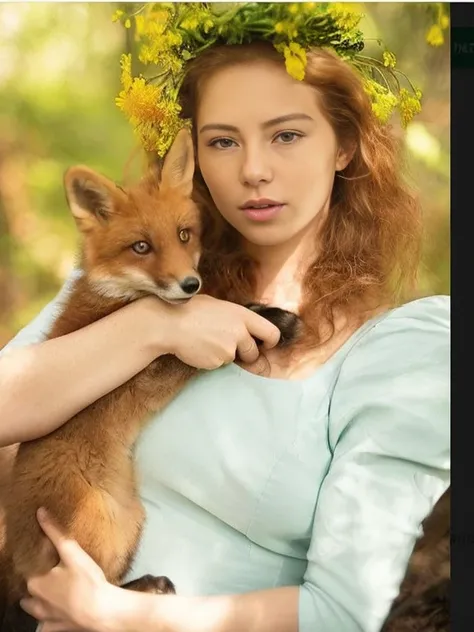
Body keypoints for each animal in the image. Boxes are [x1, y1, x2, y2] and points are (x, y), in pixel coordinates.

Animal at [0, 127, 300, 624]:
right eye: (141, 247)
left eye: (183, 235)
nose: (189, 284)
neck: (121, 297)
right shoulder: (152, 369)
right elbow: (211, 329)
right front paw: (267, 319)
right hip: (105, 526)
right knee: (83, 595)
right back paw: (148, 586)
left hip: (131, 520)